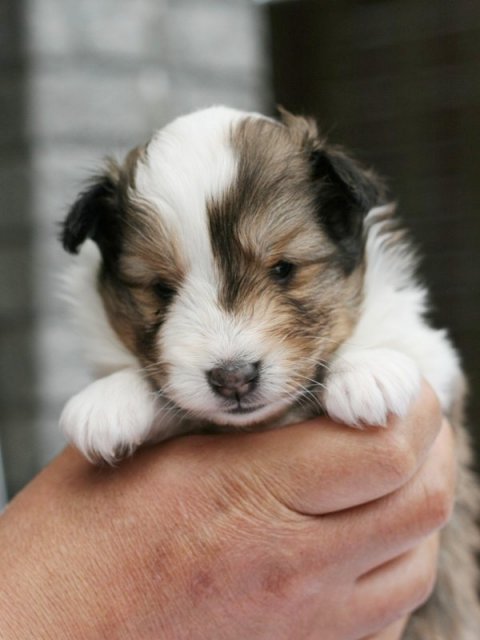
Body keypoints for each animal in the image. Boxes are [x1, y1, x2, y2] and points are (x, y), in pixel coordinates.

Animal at [59, 106, 480, 639]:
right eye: (160, 289)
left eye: (284, 269)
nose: (233, 377)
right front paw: (109, 400)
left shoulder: (440, 367)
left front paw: (369, 372)